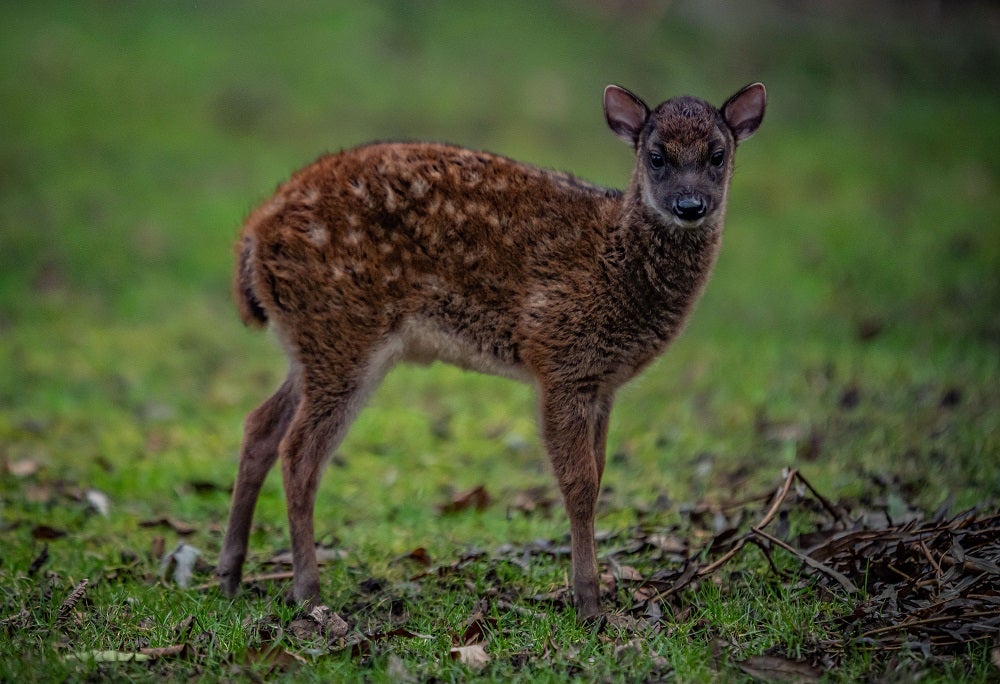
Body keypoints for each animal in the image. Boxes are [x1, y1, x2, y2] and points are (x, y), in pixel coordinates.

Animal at [217, 81, 764, 620]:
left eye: (718, 155)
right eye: (656, 156)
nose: (690, 206)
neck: (614, 260)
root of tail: (252, 234)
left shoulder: (602, 381)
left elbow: (600, 471)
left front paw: (592, 594)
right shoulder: (559, 355)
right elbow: (580, 485)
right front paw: (588, 603)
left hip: (312, 340)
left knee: (261, 425)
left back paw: (230, 575)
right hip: (341, 328)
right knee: (299, 453)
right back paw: (308, 592)